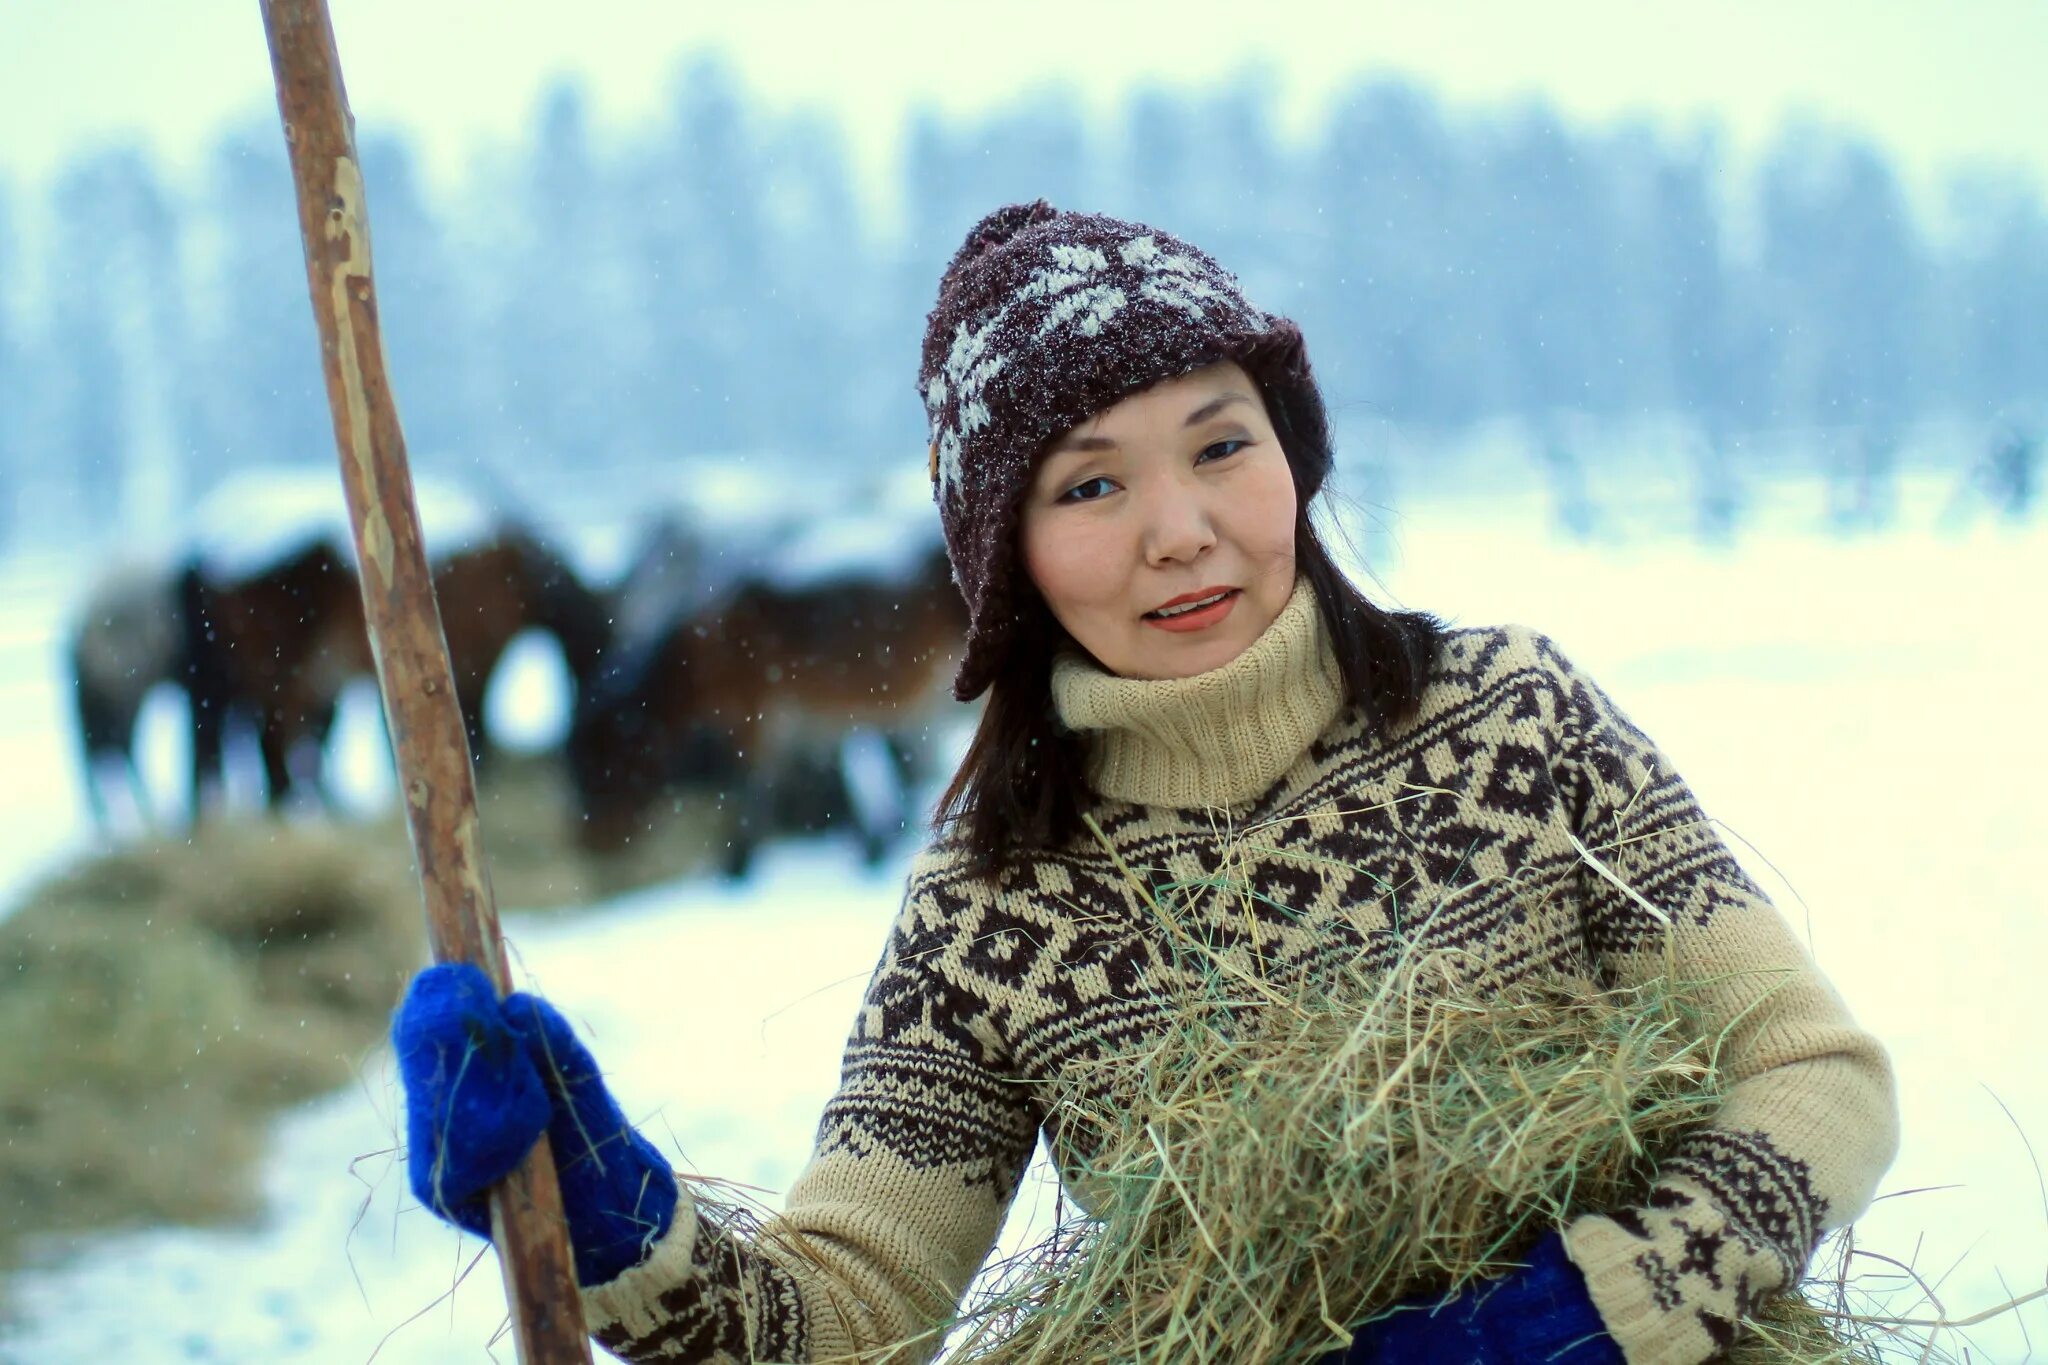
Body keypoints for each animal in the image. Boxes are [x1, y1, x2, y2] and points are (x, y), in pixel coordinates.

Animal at [565, 523, 970, 875]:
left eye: (605, 761)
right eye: (578, 762)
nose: (591, 842)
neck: (703, 655)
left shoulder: (757, 719)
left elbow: (752, 790)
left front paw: (738, 866)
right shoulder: (809, 724)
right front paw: (871, 850)